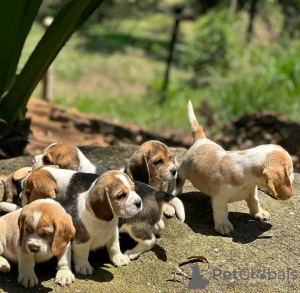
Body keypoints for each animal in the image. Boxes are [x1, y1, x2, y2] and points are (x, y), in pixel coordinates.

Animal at [21, 167, 183, 260]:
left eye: (28, 192)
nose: (21, 197)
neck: (63, 182)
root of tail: (155, 192)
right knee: (159, 226)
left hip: (136, 226)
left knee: (149, 240)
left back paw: (132, 252)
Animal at [175, 100, 294, 235]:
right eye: (290, 173)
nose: (293, 177)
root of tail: (201, 140)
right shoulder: (220, 198)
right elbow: (222, 212)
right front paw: (223, 225)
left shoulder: (252, 191)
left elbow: (254, 202)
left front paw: (259, 213)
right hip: (182, 169)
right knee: (180, 179)